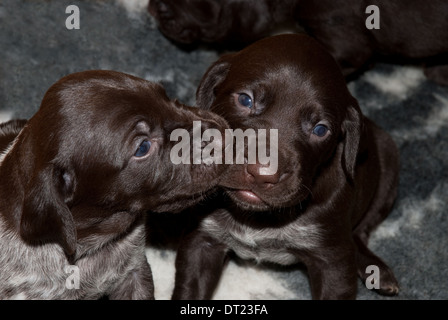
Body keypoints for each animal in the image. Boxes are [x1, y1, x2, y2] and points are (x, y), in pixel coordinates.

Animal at [173, 34, 400, 300]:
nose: (262, 175)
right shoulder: (202, 240)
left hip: (388, 167)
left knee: (362, 230)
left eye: (320, 129)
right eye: (245, 99)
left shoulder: (332, 260)